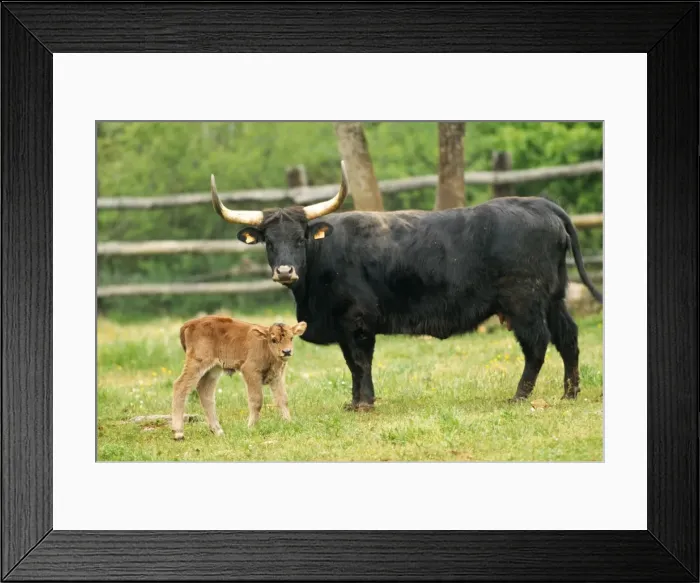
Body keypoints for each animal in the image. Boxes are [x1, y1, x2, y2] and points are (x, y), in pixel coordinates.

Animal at [171, 315, 307, 439]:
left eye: (291, 338)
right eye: (273, 339)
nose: (287, 351)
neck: (264, 344)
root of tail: (190, 324)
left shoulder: (277, 376)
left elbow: (282, 399)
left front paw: (289, 422)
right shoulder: (250, 371)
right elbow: (256, 400)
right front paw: (251, 427)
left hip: (213, 369)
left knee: (205, 391)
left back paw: (218, 431)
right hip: (196, 363)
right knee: (180, 386)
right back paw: (179, 433)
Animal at [209, 161, 603, 411]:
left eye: (300, 238)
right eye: (269, 242)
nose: (285, 270)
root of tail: (540, 205)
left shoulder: (356, 321)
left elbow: (360, 362)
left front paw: (364, 403)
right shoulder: (342, 326)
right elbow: (352, 364)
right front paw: (354, 401)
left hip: (525, 303)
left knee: (537, 344)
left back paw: (520, 397)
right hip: (555, 297)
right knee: (568, 337)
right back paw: (570, 393)